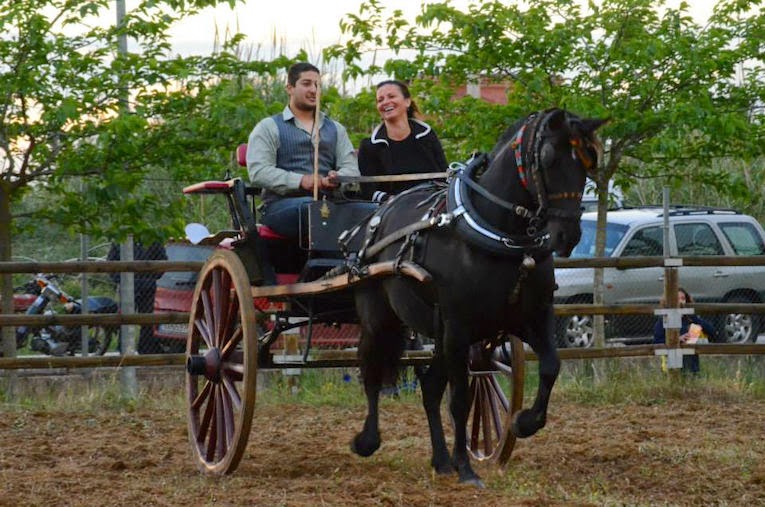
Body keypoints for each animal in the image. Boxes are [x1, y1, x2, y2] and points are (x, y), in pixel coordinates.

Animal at [350, 108, 604, 488]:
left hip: (440, 335)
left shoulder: (531, 318)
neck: (497, 232)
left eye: (589, 161)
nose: (568, 235)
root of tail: (377, 216)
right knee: (372, 371)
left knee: (429, 388)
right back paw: (368, 441)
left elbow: (551, 366)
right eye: (547, 158)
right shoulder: (459, 327)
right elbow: (460, 400)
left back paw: (441, 461)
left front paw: (523, 422)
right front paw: (467, 469)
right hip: (381, 318)